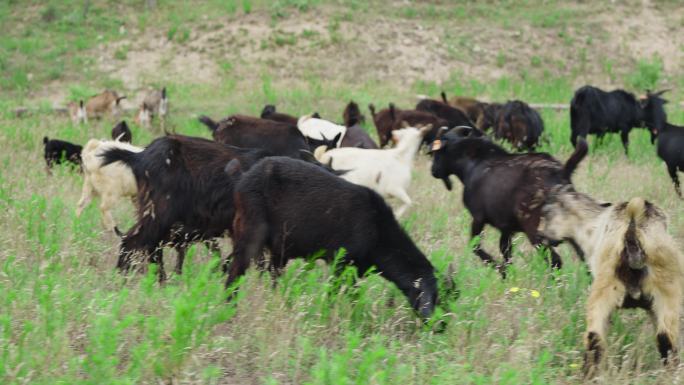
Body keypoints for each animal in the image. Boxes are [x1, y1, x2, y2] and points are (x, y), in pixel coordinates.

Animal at [224, 155, 438, 318]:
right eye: (429, 295)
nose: (438, 325)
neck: (378, 230)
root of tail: (243, 177)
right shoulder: (340, 262)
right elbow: (340, 294)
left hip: (279, 248)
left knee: (273, 275)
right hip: (251, 232)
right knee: (235, 273)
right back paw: (230, 309)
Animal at [432, 129, 588, 276]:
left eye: (437, 152)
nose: (433, 171)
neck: (473, 164)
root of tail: (561, 173)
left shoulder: (478, 218)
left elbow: (476, 246)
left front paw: (499, 269)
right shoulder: (506, 227)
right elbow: (505, 252)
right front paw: (506, 273)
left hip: (536, 230)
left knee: (555, 261)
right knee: (584, 254)